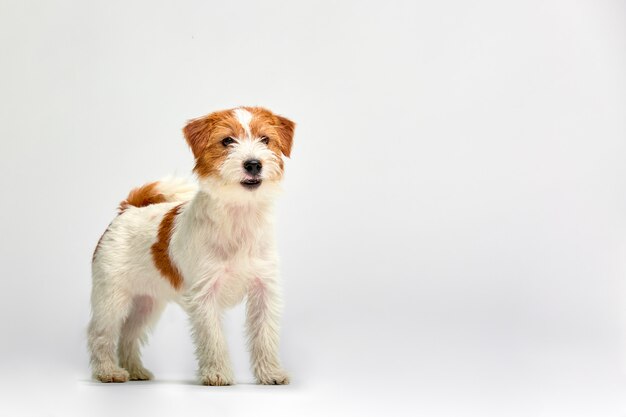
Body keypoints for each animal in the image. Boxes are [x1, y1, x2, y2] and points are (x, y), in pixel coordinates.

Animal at [88, 106, 294, 384]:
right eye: (227, 141)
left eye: (265, 139)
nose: (253, 164)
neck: (239, 215)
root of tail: (128, 209)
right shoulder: (205, 294)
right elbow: (213, 338)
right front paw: (217, 373)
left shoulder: (264, 290)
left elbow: (265, 336)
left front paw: (271, 373)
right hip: (111, 299)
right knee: (101, 335)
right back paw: (108, 371)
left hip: (146, 304)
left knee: (129, 336)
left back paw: (135, 370)